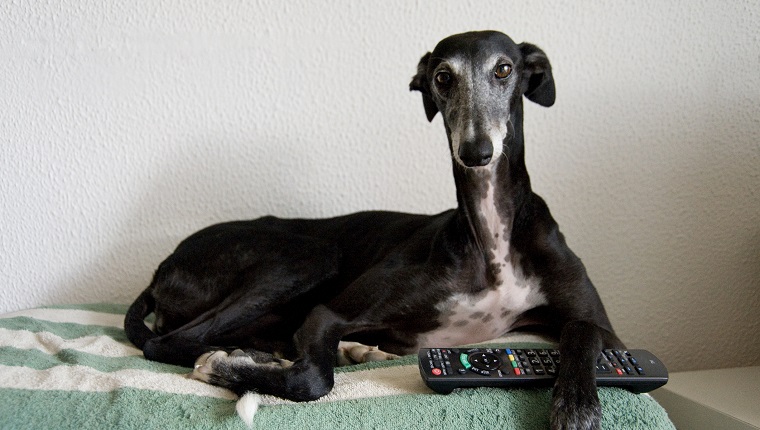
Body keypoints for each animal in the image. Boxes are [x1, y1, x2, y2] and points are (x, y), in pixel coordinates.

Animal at [124, 31, 624, 428]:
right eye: (443, 77)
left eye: (504, 69)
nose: (476, 152)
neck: (492, 238)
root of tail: (160, 268)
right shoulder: (327, 313)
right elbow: (312, 379)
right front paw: (228, 369)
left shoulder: (606, 330)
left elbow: (585, 331)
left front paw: (576, 405)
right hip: (306, 257)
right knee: (175, 340)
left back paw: (343, 351)